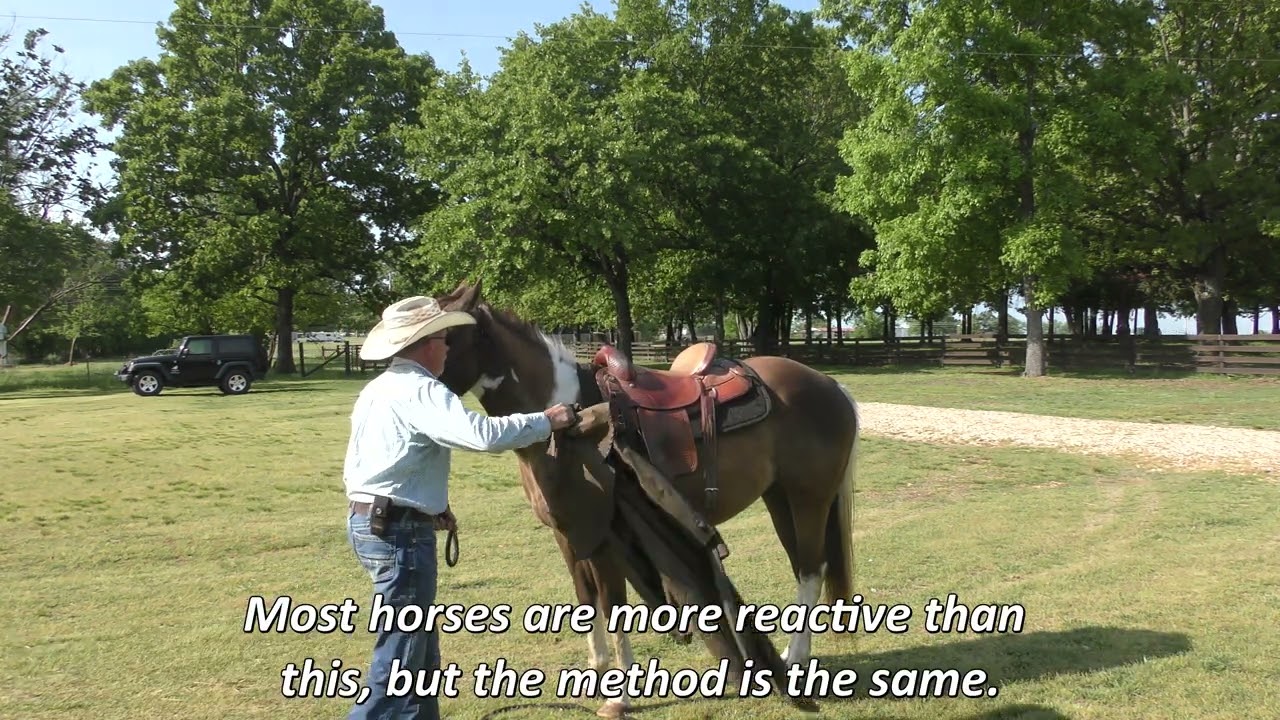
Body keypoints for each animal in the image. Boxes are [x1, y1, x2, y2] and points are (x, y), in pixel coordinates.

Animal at [433, 280, 860, 717]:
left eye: (445, 336)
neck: (563, 421)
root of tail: (831, 385)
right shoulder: (567, 535)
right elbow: (586, 599)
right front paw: (595, 672)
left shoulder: (605, 536)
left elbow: (612, 605)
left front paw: (617, 697)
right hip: (779, 499)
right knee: (804, 568)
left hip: (809, 498)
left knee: (810, 571)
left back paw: (794, 662)